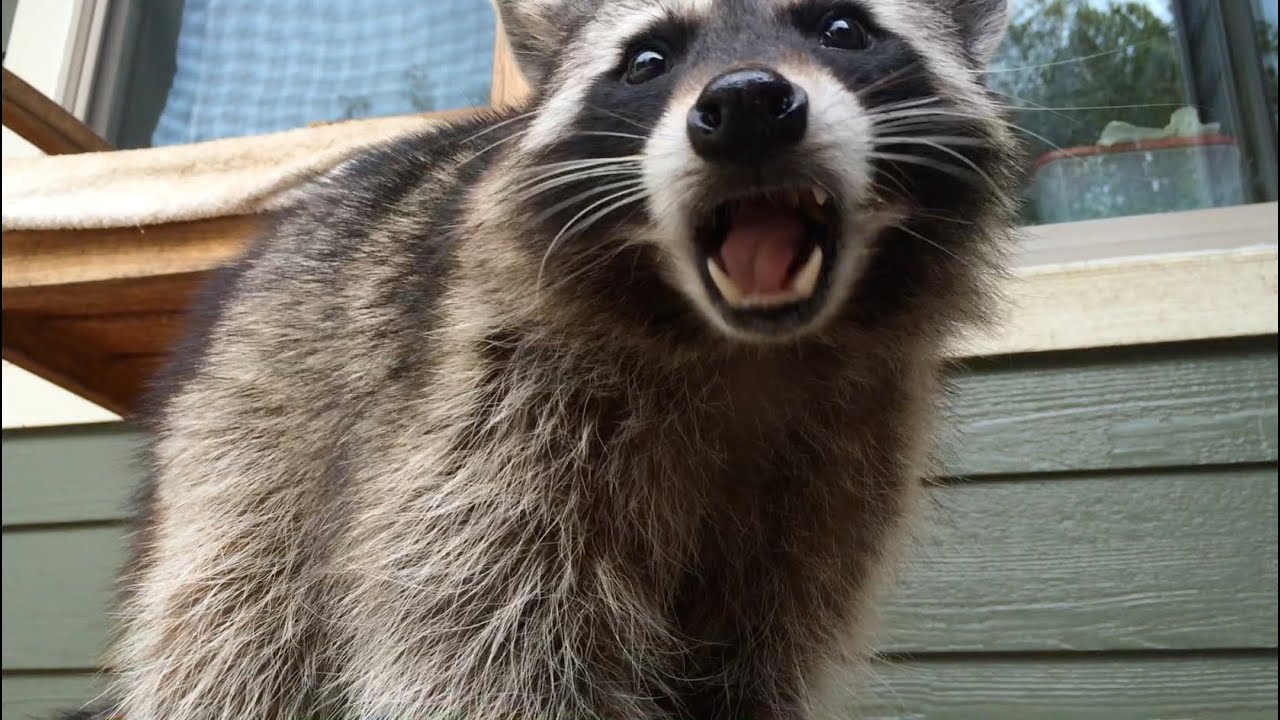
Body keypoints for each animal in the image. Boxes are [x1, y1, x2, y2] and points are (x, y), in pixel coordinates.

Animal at [98, 0, 1021, 717]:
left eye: (842, 29)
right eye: (648, 59)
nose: (749, 104)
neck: (739, 345)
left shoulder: (846, 464)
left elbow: (757, 660)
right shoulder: (490, 421)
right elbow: (479, 641)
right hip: (252, 432)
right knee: (235, 629)